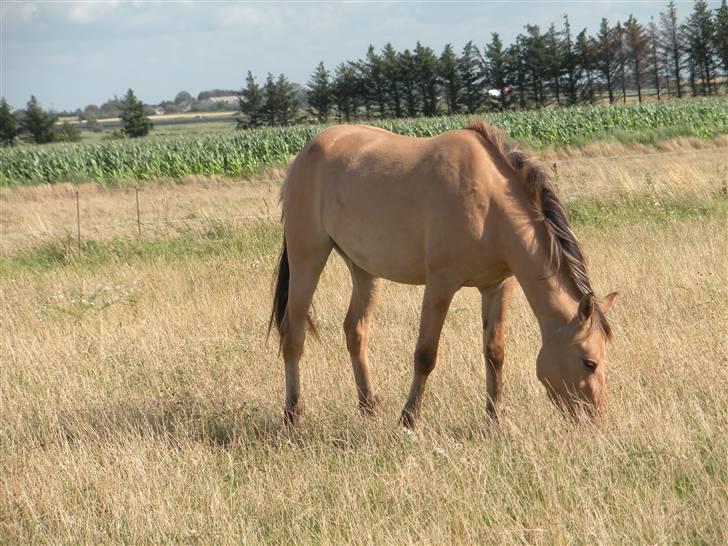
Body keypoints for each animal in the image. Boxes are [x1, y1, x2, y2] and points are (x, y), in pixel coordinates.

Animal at [270, 118, 616, 424]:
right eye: (589, 362)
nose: (596, 418)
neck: (490, 202)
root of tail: (305, 153)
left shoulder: (498, 286)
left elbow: (494, 353)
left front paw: (496, 418)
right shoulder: (440, 284)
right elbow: (425, 355)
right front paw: (409, 419)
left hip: (364, 270)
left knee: (355, 331)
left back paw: (369, 408)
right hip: (307, 258)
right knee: (293, 334)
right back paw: (293, 415)